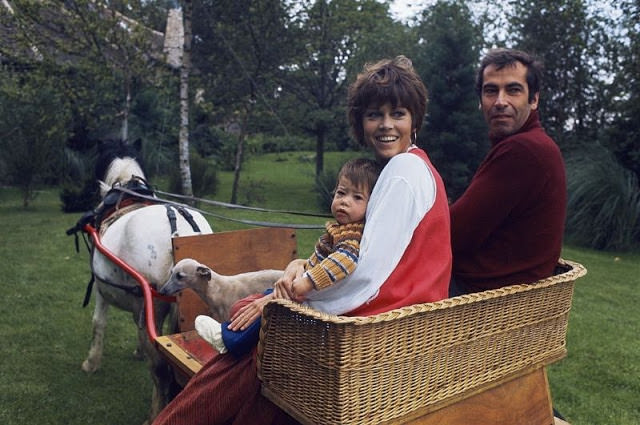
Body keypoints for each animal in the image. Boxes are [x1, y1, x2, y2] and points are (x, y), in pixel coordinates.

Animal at [80, 140, 212, 420]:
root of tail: (178, 230)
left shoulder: (102, 288)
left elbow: (98, 323)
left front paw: (91, 362)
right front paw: (139, 352)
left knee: (161, 369)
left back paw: (156, 412)